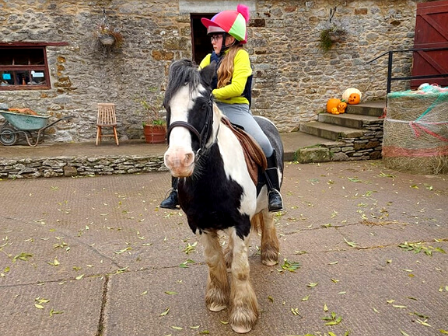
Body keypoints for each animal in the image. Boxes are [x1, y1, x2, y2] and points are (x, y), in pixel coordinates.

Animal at [164, 59, 284, 334]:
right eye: (167, 106)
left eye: (203, 103)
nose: (178, 160)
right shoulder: (199, 224)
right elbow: (213, 261)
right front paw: (218, 298)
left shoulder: (241, 223)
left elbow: (241, 270)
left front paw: (242, 314)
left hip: (266, 205)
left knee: (268, 221)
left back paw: (269, 254)